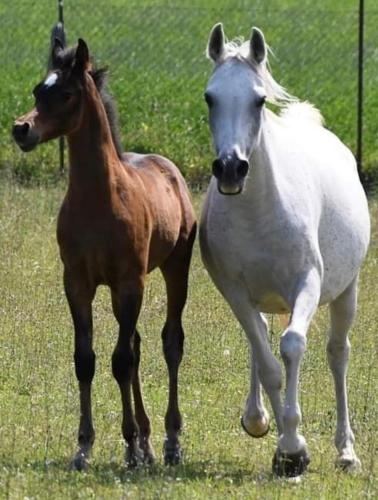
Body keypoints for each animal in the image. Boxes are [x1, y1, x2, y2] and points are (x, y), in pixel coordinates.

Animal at [12, 38, 195, 468]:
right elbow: (87, 360)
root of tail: (169, 169)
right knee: (138, 345)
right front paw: (85, 447)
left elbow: (120, 361)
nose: (21, 129)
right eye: (37, 90)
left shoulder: (129, 283)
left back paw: (169, 442)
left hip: (175, 268)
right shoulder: (78, 283)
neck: (99, 198)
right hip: (116, 290)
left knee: (170, 342)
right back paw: (146, 443)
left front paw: (128, 445)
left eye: (66, 94)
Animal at [199, 23, 370, 476]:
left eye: (258, 100)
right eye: (210, 97)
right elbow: (267, 362)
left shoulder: (306, 284)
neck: (259, 211)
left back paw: (346, 452)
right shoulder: (235, 292)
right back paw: (258, 417)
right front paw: (287, 448)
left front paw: (294, 442)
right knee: (259, 339)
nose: (230, 168)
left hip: (346, 291)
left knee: (337, 355)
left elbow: (292, 346)